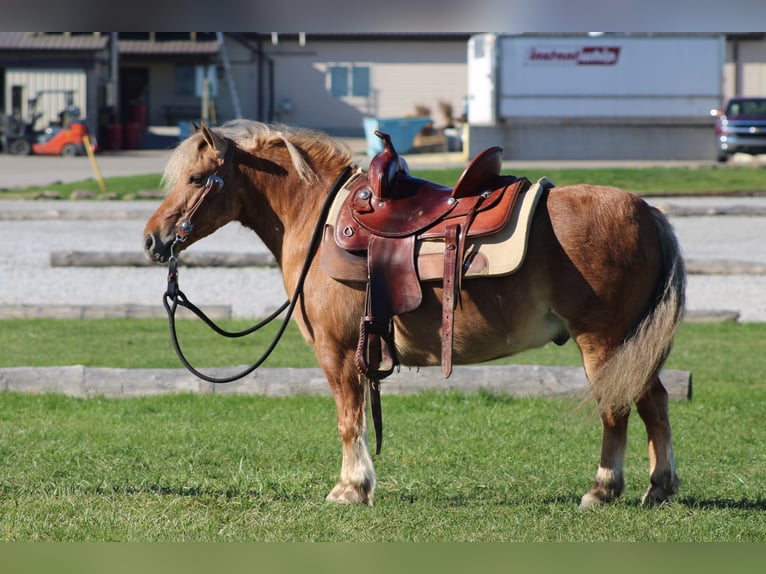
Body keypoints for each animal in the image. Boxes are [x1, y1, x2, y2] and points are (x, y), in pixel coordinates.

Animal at [143, 119, 686, 509]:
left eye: (196, 178)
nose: (152, 240)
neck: (317, 219)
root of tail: (650, 213)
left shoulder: (337, 350)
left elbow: (349, 419)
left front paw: (350, 489)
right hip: (634, 344)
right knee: (654, 403)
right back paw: (658, 486)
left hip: (604, 342)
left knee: (616, 409)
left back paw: (602, 489)